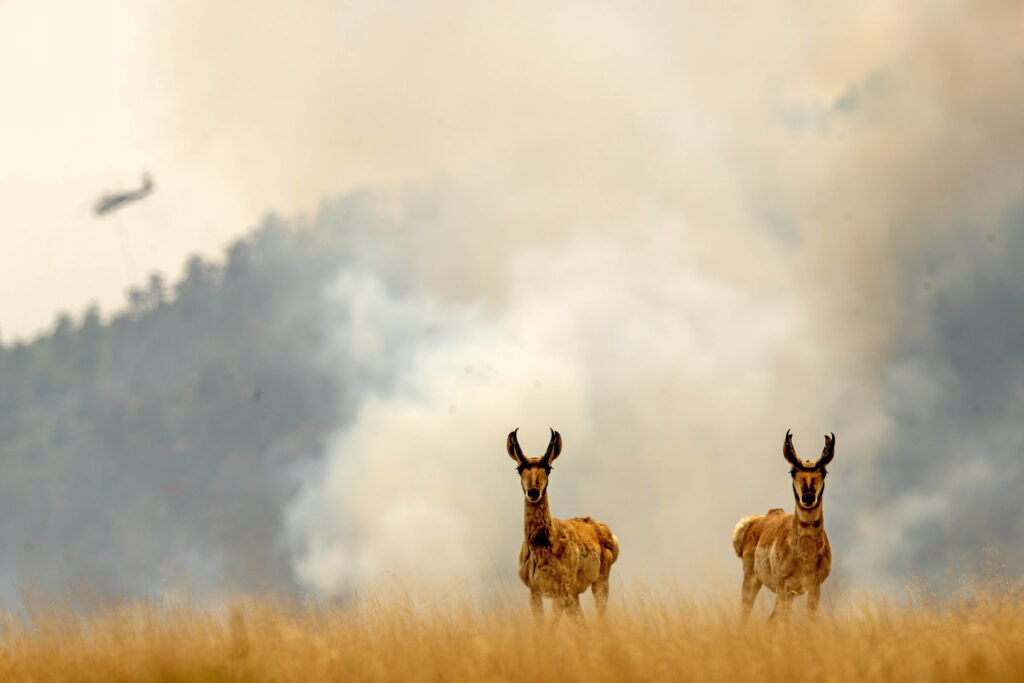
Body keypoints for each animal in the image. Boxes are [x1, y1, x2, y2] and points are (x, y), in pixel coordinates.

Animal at [506, 428, 619, 620]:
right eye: (519, 468)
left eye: (548, 467)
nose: (533, 492)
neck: (542, 543)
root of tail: (601, 527)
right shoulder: (535, 592)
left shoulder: (560, 592)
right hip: (574, 595)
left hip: (599, 584)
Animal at [732, 430, 835, 620]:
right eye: (792, 471)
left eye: (824, 471)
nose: (808, 497)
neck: (804, 554)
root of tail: (755, 521)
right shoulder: (784, 587)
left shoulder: (813, 588)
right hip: (753, 580)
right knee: (745, 613)